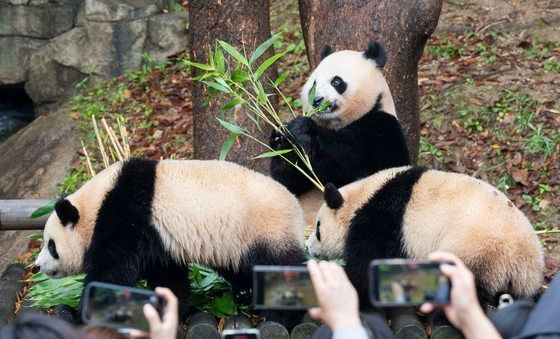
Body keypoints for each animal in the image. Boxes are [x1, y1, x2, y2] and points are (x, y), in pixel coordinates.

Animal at [34, 158, 306, 318]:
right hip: (234, 242)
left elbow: (111, 274)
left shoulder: (125, 216)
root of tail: (296, 208)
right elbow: (168, 277)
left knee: (281, 269)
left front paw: (78, 312)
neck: (95, 204)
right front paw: (169, 307)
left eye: (51, 245)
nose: (37, 266)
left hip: (264, 230)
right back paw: (243, 291)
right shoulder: (159, 240)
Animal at [272, 41, 412, 226]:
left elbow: (350, 161)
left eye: (336, 81)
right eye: (313, 84)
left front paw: (302, 128)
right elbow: (286, 184)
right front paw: (281, 138)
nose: (317, 101)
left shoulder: (383, 129)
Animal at [304, 166, 544, 306]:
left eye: (318, 229)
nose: (308, 248)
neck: (360, 199)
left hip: (478, 251)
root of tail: (524, 262)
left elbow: (367, 266)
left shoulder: (383, 220)